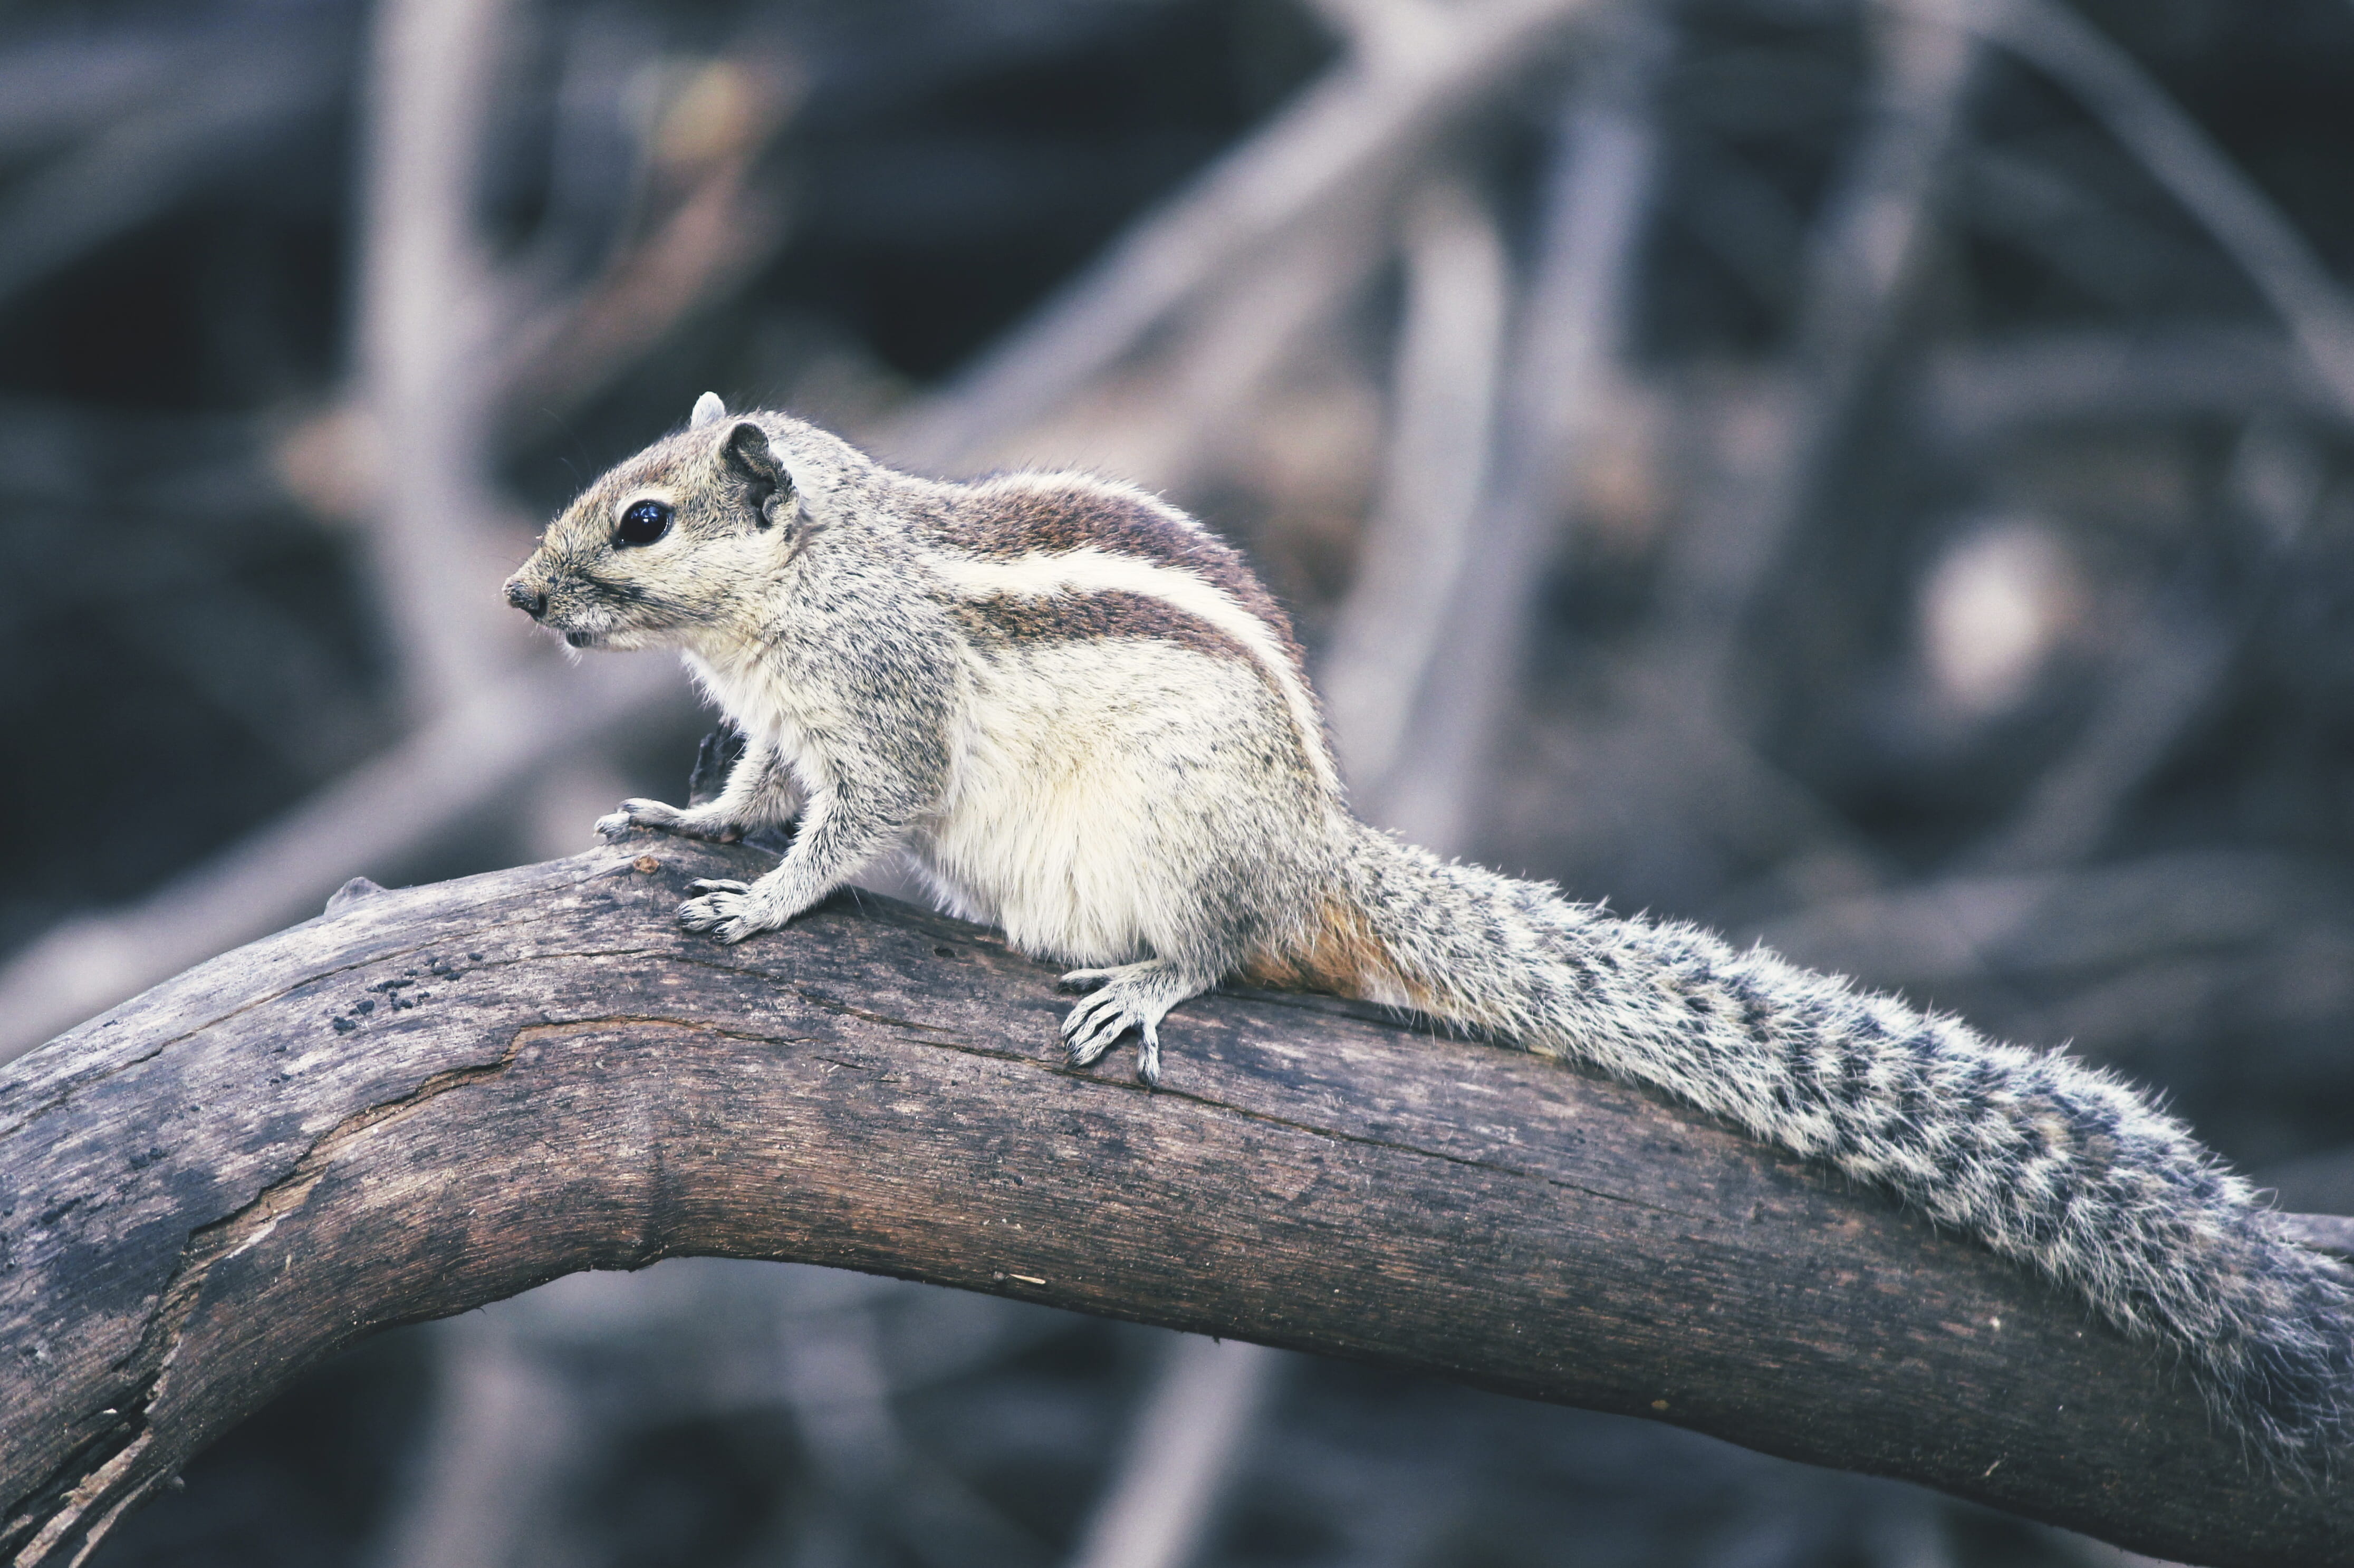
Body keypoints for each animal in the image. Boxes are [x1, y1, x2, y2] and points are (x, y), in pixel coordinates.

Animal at [504, 392, 2354, 1473]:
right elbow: (755, 789)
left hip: (1190, 843)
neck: (812, 582)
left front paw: (766, 898)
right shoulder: (782, 729)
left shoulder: (880, 722)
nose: (519, 595)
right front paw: (687, 828)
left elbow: (848, 826)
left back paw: (1150, 978)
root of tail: (1323, 855)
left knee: (1224, 937)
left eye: (644, 520)